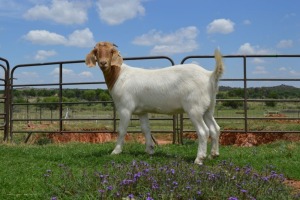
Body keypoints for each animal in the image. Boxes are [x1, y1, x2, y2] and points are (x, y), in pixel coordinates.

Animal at [85, 41, 224, 165]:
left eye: (111, 51)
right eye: (96, 51)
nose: (103, 63)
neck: (118, 75)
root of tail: (209, 75)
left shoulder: (125, 108)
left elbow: (122, 130)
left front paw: (116, 151)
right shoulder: (142, 111)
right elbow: (146, 129)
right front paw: (150, 150)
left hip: (195, 108)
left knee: (203, 131)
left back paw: (199, 159)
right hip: (208, 108)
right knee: (215, 128)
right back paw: (213, 154)